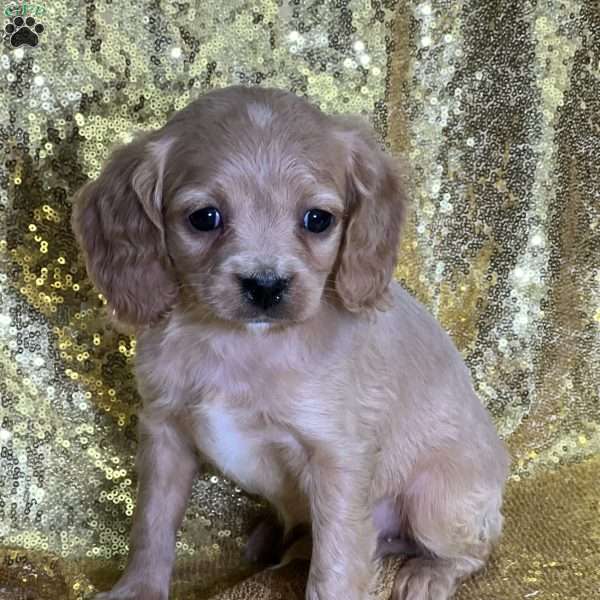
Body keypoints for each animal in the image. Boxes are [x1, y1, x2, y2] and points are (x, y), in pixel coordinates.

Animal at [72, 85, 508, 600]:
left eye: (318, 220)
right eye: (204, 218)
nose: (265, 286)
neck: (240, 343)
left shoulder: (337, 457)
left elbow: (335, 565)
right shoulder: (165, 432)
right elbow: (151, 524)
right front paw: (138, 588)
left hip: (434, 501)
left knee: (473, 550)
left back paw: (427, 572)